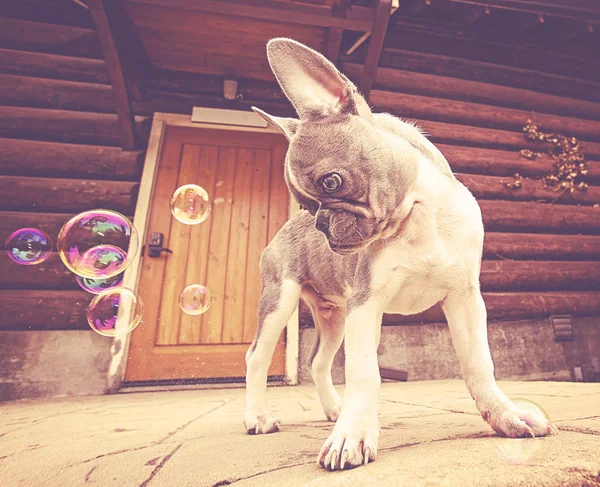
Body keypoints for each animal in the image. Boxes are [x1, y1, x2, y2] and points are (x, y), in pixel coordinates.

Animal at [243, 36, 552, 470]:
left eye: (331, 182)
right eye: (305, 207)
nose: (321, 224)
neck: (417, 217)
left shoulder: (465, 299)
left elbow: (479, 363)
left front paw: (505, 417)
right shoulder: (366, 303)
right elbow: (363, 372)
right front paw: (353, 435)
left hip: (334, 316)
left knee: (318, 361)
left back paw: (334, 410)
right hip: (281, 300)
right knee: (257, 356)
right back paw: (258, 417)